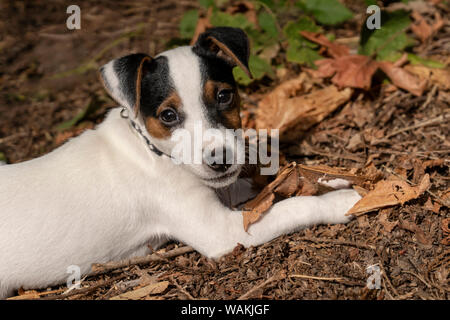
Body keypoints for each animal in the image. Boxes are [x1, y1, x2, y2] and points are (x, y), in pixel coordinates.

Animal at [0, 26, 360, 298]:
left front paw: (326, 180)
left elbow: (263, 185)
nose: (220, 161)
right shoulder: (222, 231)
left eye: (224, 96)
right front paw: (343, 200)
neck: (150, 149)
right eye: (168, 115)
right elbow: (293, 207)